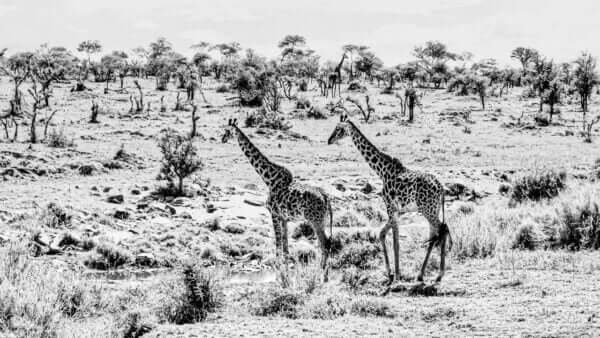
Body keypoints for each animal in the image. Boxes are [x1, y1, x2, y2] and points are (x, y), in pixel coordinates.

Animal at [221, 119, 332, 278]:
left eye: (227, 131)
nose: (222, 139)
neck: (268, 178)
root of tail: (326, 197)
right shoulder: (284, 217)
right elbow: (285, 246)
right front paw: (285, 271)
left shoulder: (273, 213)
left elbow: (278, 245)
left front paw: (279, 270)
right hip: (322, 220)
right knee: (326, 242)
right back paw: (323, 271)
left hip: (314, 220)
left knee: (325, 243)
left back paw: (321, 272)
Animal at [328, 115, 450, 284]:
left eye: (339, 129)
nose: (329, 140)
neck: (383, 171)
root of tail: (441, 188)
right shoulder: (397, 211)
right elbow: (382, 234)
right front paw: (390, 273)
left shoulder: (390, 207)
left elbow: (395, 242)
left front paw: (397, 275)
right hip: (434, 209)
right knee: (435, 235)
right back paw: (420, 275)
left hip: (428, 210)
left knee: (442, 230)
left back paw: (439, 274)